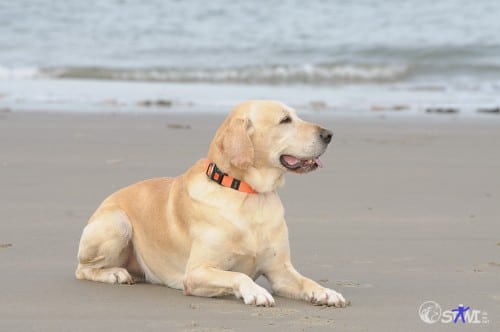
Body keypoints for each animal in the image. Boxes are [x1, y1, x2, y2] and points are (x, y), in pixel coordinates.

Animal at [75, 100, 348, 308]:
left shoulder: (280, 271)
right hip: (117, 223)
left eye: (296, 115)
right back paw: (115, 273)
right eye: (285, 120)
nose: (329, 135)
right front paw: (256, 292)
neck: (249, 194)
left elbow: (306, 281)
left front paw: (325, 291)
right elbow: (238, 275)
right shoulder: (196, 272)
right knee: (83, 269)